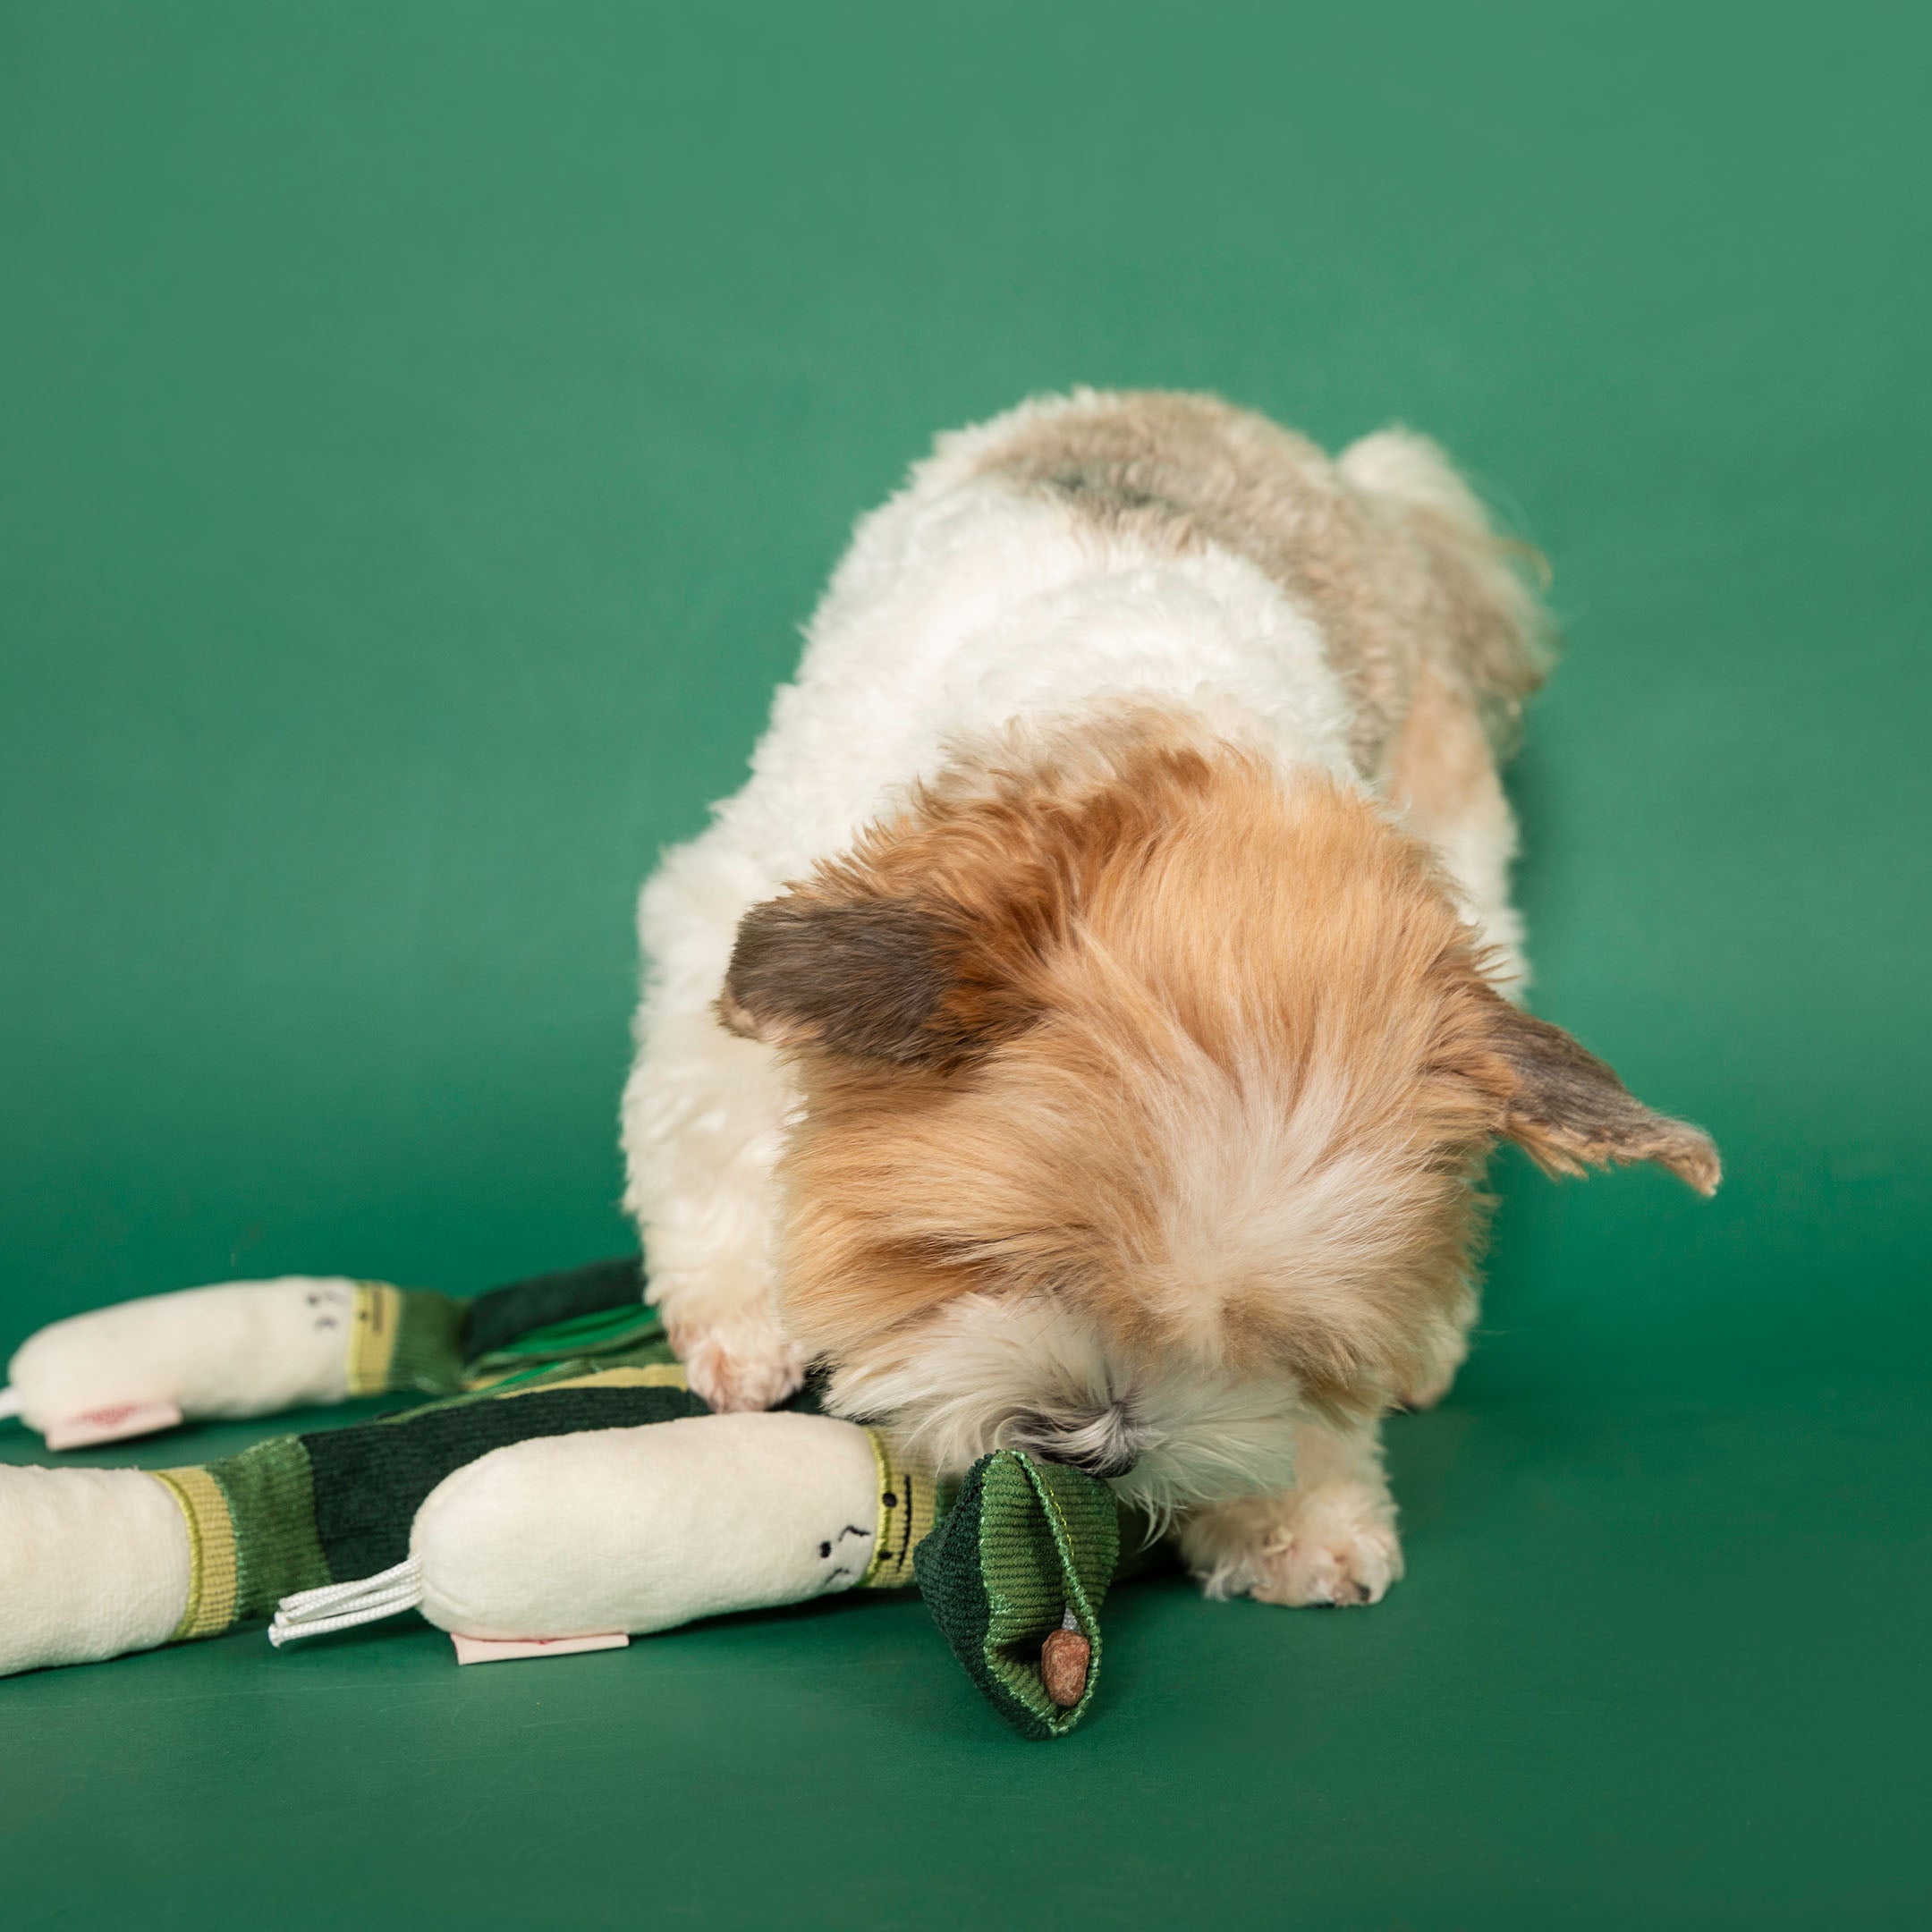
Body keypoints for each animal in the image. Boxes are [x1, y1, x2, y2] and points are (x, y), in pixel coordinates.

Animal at [622, 384, 1723, 1607]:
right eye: (994, 1263)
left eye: (1272, 1344)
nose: (1096, 1445)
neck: (1144, 723)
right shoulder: (738, 902)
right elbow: (711, 1118)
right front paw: (742, 1316)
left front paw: (1298, 1509)